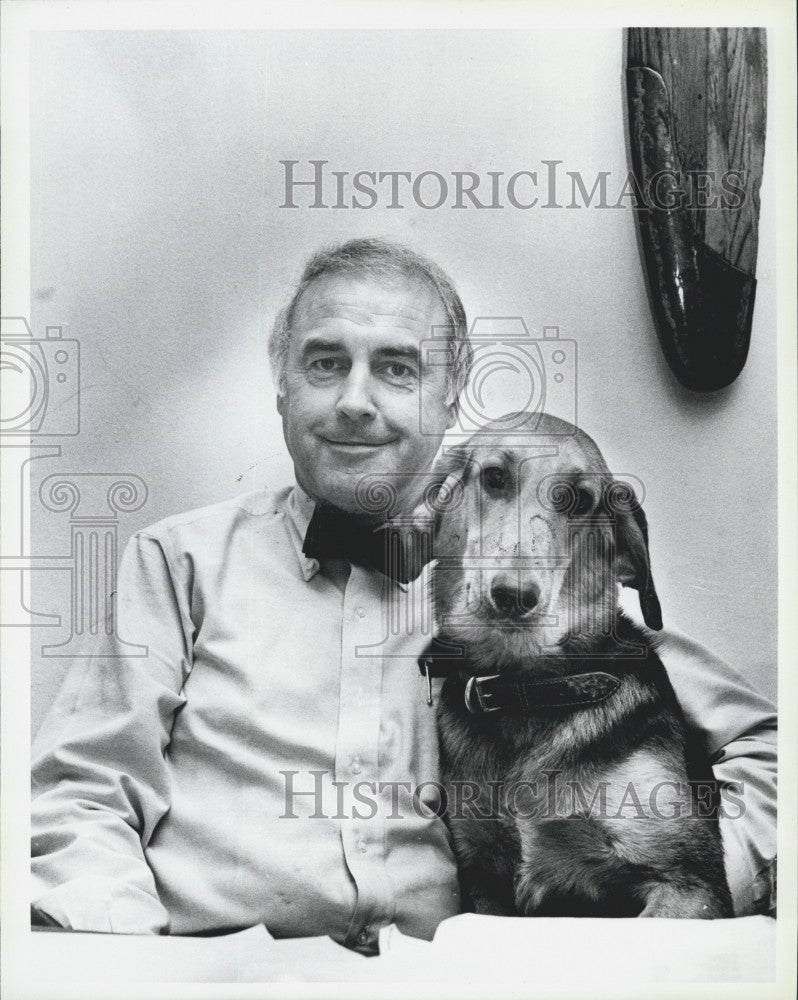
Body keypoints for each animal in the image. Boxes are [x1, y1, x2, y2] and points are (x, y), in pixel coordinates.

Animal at [418, 410, 736, 916]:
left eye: (577, 500)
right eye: (494, 477)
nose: (514, 596)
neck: (527, 692)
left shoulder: (687, 882)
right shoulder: (484, 881)